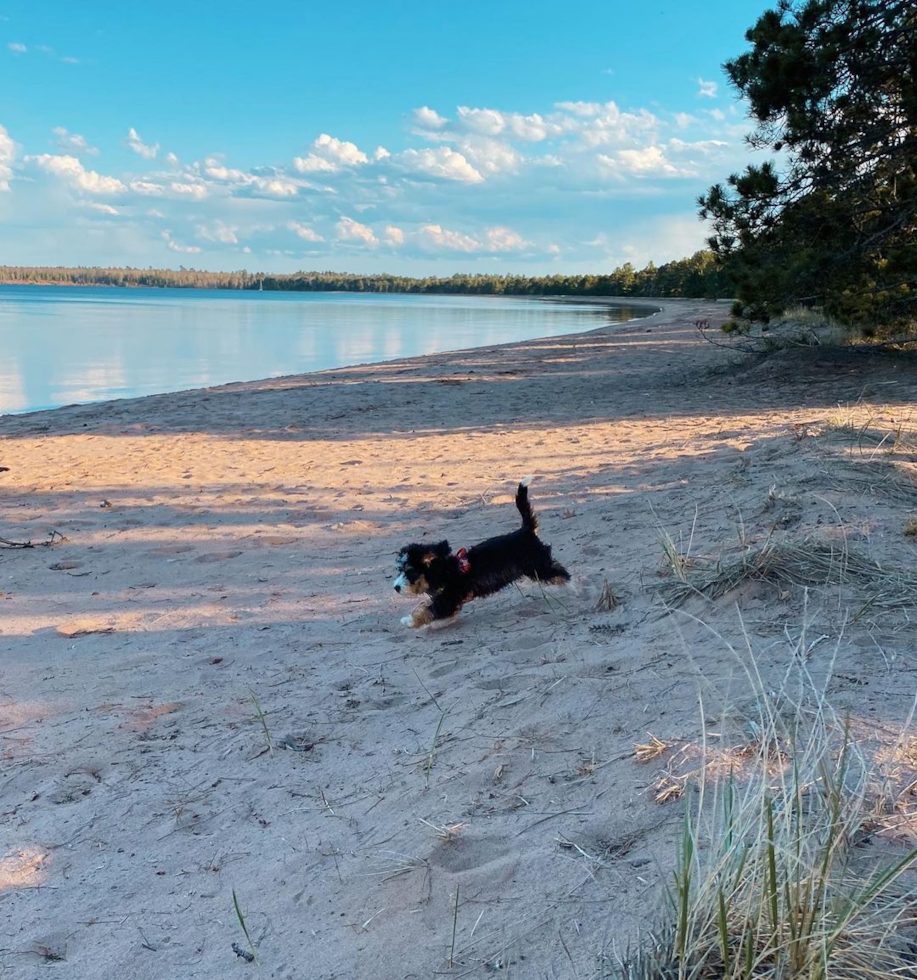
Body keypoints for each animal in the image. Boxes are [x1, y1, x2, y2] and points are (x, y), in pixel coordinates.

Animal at [392, 480, 568, 632]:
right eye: (400, 570)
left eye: (410, 572)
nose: (396, 588)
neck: (444, 571)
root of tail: (526, 531)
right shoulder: (449, 602)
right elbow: (440, 613)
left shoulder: (447, 600)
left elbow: (428, 612)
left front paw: (409, 621)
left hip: (539, 566)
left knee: (563, 574)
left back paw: (571, 588)